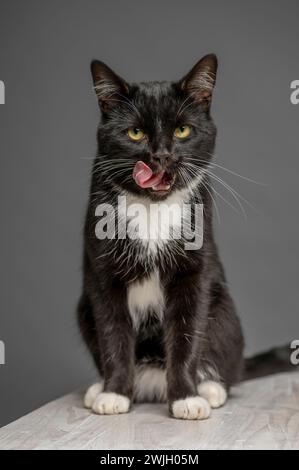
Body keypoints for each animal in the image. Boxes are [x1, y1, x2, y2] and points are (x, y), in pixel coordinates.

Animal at [78, 55, 294, 418]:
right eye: (135, 132)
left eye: (182, 130)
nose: (161, 155)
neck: (153, 209)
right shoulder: (103, 273)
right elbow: (112, 332)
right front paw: (115, 393)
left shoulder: (195, 270)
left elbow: (187, 332)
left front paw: (186, 398)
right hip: (83, 307)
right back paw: (100, 387)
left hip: (224, 309)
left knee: (224, 354)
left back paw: (210, 388)